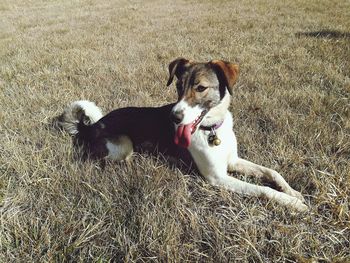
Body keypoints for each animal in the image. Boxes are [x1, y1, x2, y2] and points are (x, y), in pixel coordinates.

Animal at [54, 57, 306, 212]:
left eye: (201, 88)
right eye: (177, 87)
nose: (174, 117)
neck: (211, 130)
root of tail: (91, 126)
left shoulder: (232, 161)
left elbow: (271, 172)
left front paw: (293, 192)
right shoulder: (217, 177)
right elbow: (263, 189)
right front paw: (292, 203)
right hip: (124, 144)